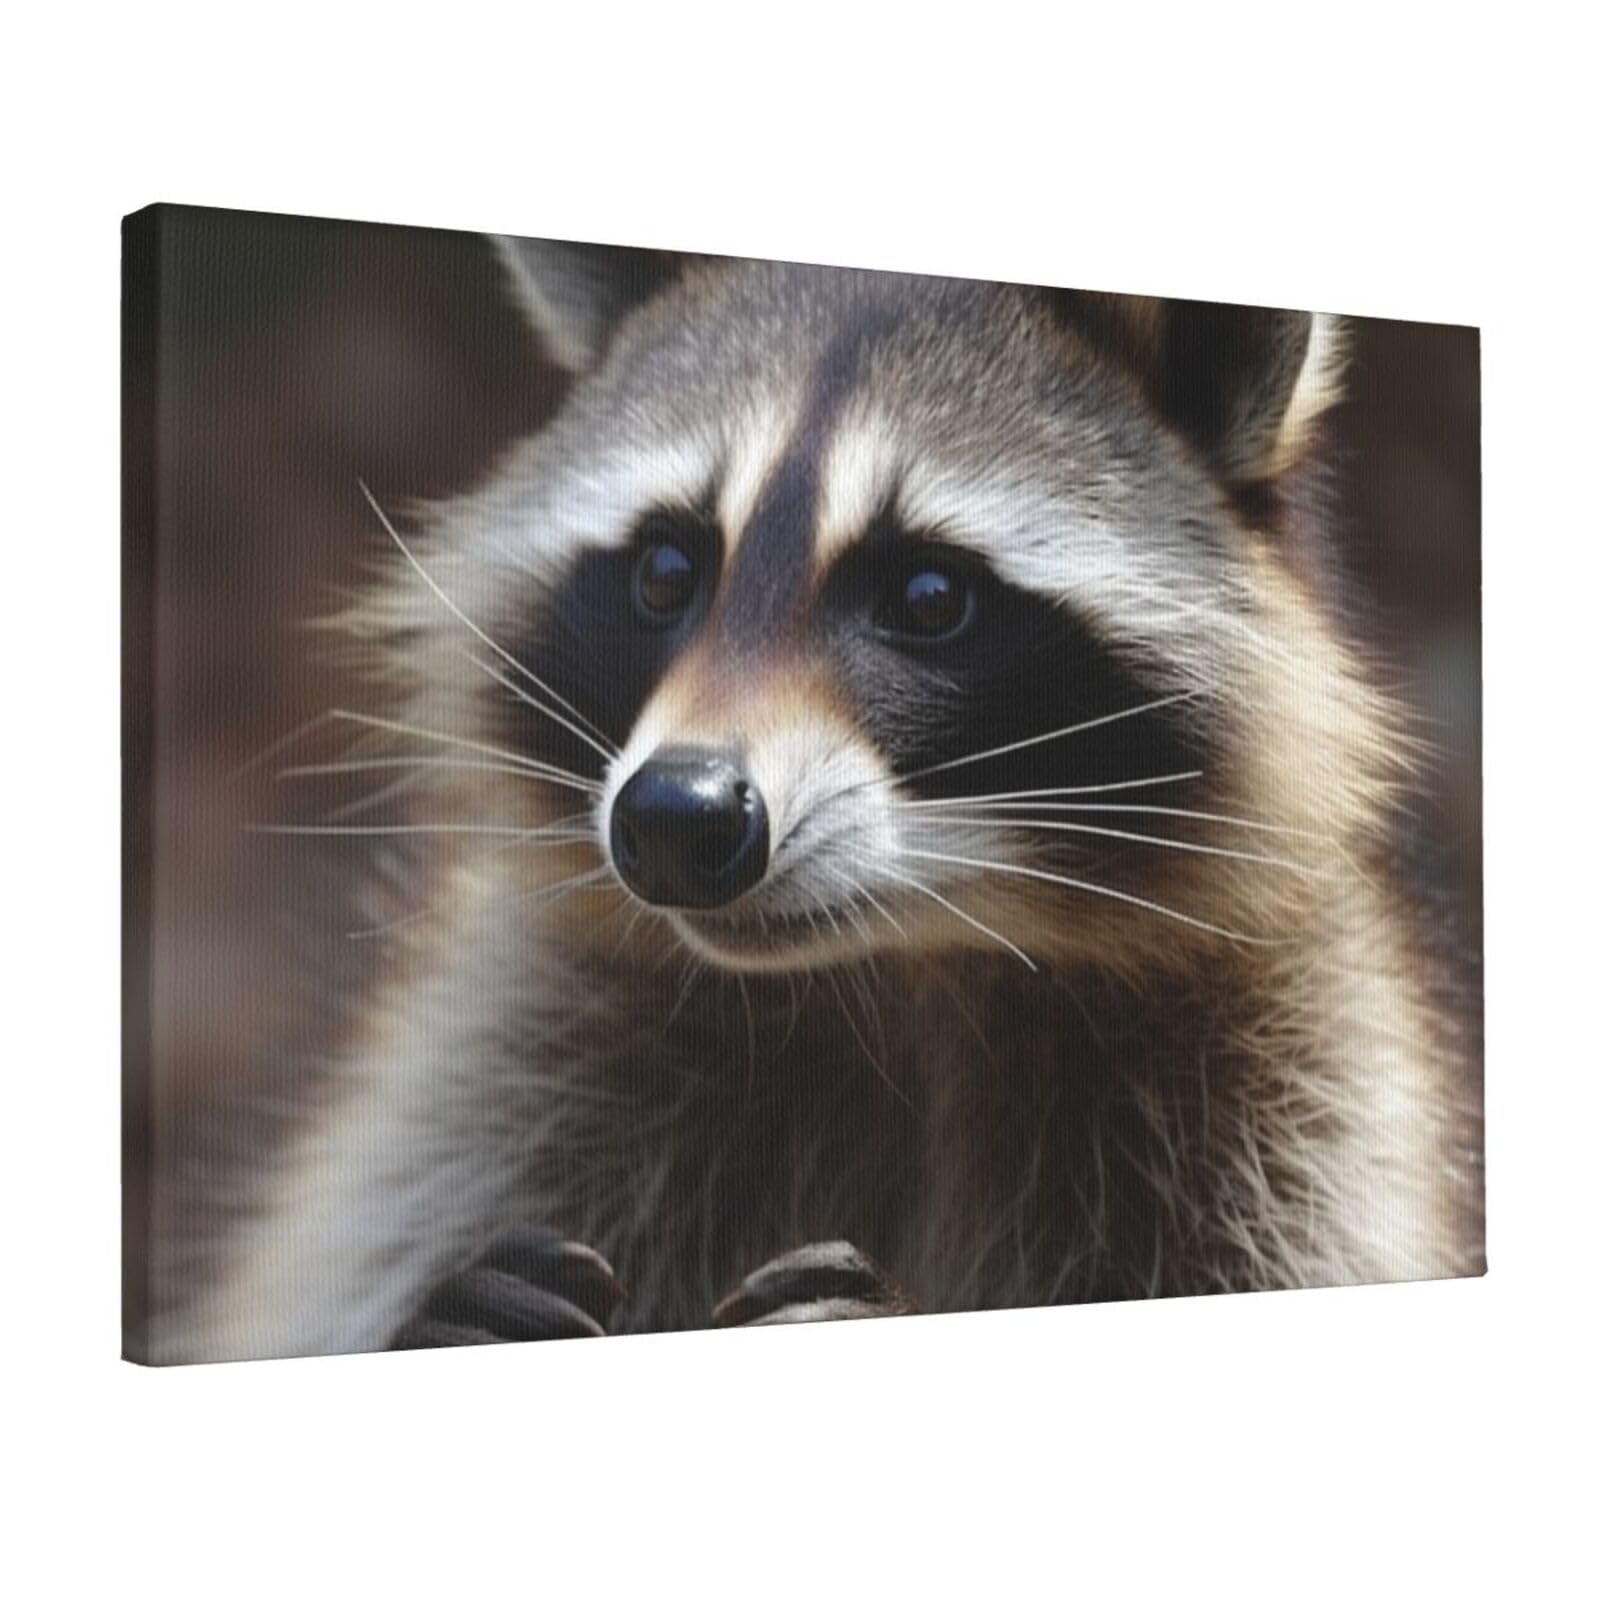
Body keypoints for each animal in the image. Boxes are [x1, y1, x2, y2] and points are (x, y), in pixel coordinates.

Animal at [163, 240, 1483, 1362]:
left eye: (930, 596)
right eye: (665, 570)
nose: (675, 819)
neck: (904, 965)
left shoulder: (1296, 1099)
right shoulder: (504, 1049)